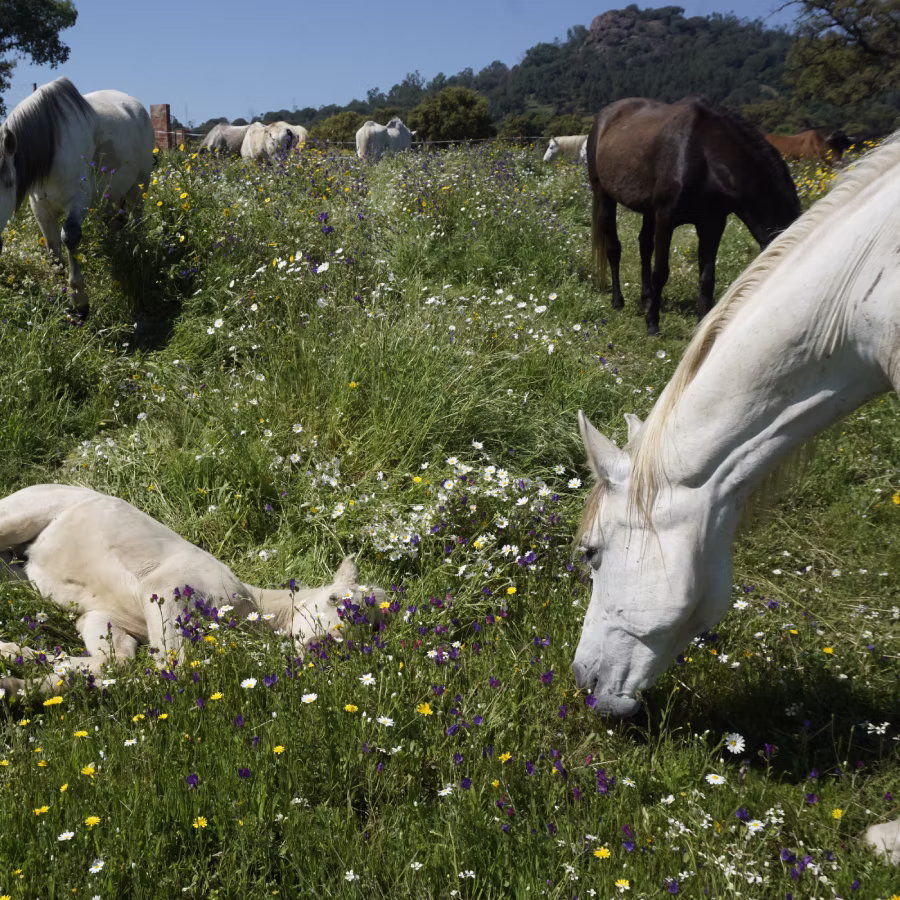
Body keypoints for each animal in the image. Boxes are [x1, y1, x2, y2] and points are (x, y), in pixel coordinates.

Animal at [0, 77, 154, 316]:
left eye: (7, 183)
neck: (52, 150)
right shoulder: (40, 208)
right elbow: (53, 253)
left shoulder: (79, 200)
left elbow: (69, 236)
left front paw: (80, 301)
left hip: (140, 186)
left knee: (137, 216)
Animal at [0, 484, 384, 697]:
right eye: (334, 600)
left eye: (366, 632)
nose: (324, 644)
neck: (248, 605)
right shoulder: (168, 589)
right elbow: (175, 669)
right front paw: (13, 683)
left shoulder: (103, 618)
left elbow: (115, 661)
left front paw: (17, 669)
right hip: (21, 514)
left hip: (16, 569)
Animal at [586, 97, 800, 336]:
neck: (705, 157)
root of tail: (604, 116)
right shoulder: (666, 219)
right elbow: (661, 271)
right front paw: (652, 323)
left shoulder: (713, 223)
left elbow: (707, 276)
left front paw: (703, 323)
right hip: (605, 197)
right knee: (614, 249)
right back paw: (618, 301)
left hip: (648, 211)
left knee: (644, 247)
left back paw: (646, 299)